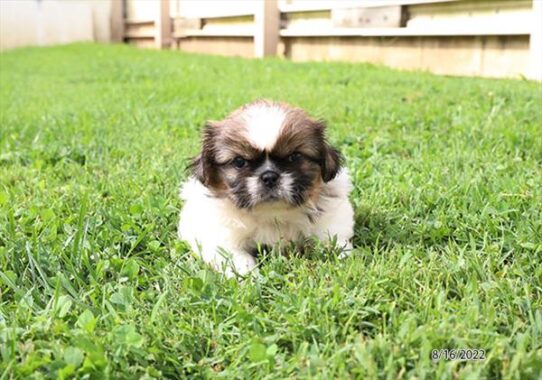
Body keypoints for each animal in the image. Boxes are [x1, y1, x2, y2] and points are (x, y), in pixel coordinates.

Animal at [180, 99, 356, 274]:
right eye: (239, 161)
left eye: (294, 157)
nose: (269, 177)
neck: (272, 214)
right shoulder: (221, 239)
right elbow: (237, 259)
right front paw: (249, 276)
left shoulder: (333, 222)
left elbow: (335, 242)